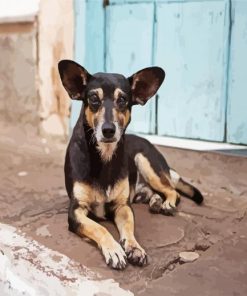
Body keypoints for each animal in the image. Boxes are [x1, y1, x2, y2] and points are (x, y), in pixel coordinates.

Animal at [58, 60, 205, 270]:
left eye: (122, 100)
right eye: (93, 98)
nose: (109, 130)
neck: (104, 157)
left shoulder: (123, 207)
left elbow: (129, 228)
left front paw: (134, 248)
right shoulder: (76, 211)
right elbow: (99, 228)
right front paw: (114, 250)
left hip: (146, 161)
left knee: (172, 191)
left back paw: (166, 203)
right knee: (155, 192)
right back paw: (155, 201)